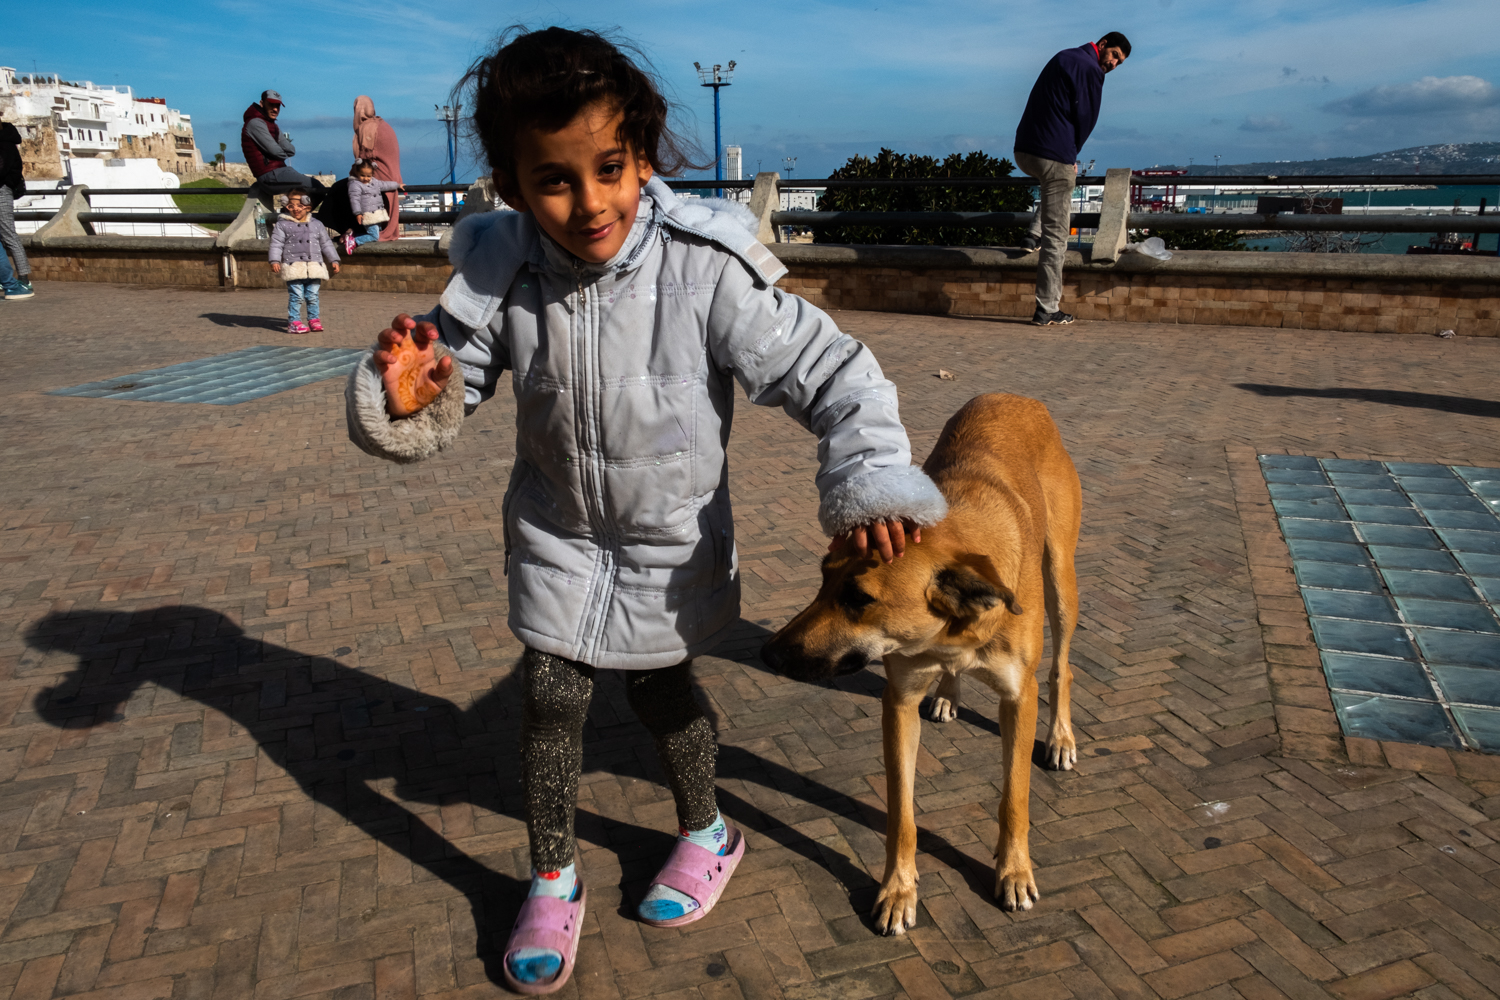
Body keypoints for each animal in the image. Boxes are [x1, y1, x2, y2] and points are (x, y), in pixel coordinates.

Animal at [761, 393, 1081, 934]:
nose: (772, 654)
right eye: (822, 579)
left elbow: (1014, 798)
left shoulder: (1019, 699)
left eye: (859, 598)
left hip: (1061, 577)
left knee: (1063, 666)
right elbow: (901, 812)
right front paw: (898, 889)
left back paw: (1060, 737)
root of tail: (1015, 398)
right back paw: (949, 695)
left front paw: (1014, 871)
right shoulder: (899, 701)